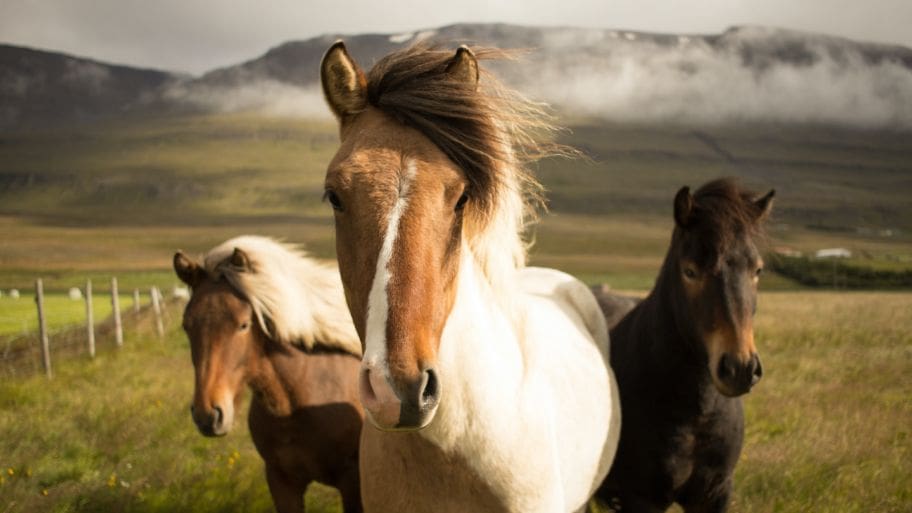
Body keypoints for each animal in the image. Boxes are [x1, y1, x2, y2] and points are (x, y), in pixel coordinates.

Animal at [594, 178, 775, 513]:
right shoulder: (642, 498)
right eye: (690, 271)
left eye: (757, 270)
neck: (695, 414)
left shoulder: (715, 493)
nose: (739, 369)